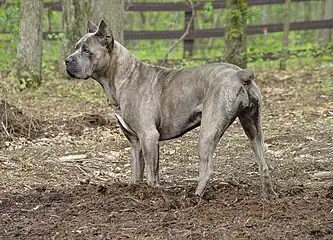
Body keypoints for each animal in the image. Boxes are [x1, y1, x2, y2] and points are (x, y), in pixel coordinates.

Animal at [64, 19, 274, 198]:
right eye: (76, 47)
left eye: (86, 50)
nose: (67, 60)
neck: (123, 76)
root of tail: (240, 74)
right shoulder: (136, 142)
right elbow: (137, 171)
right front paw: (135, 189)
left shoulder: (149, 136)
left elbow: (151, 174)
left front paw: (153, 194)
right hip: (252, 126)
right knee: (263, 163)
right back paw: (268, 195)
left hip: (208, 131)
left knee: (207, 169)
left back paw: (195, 198)